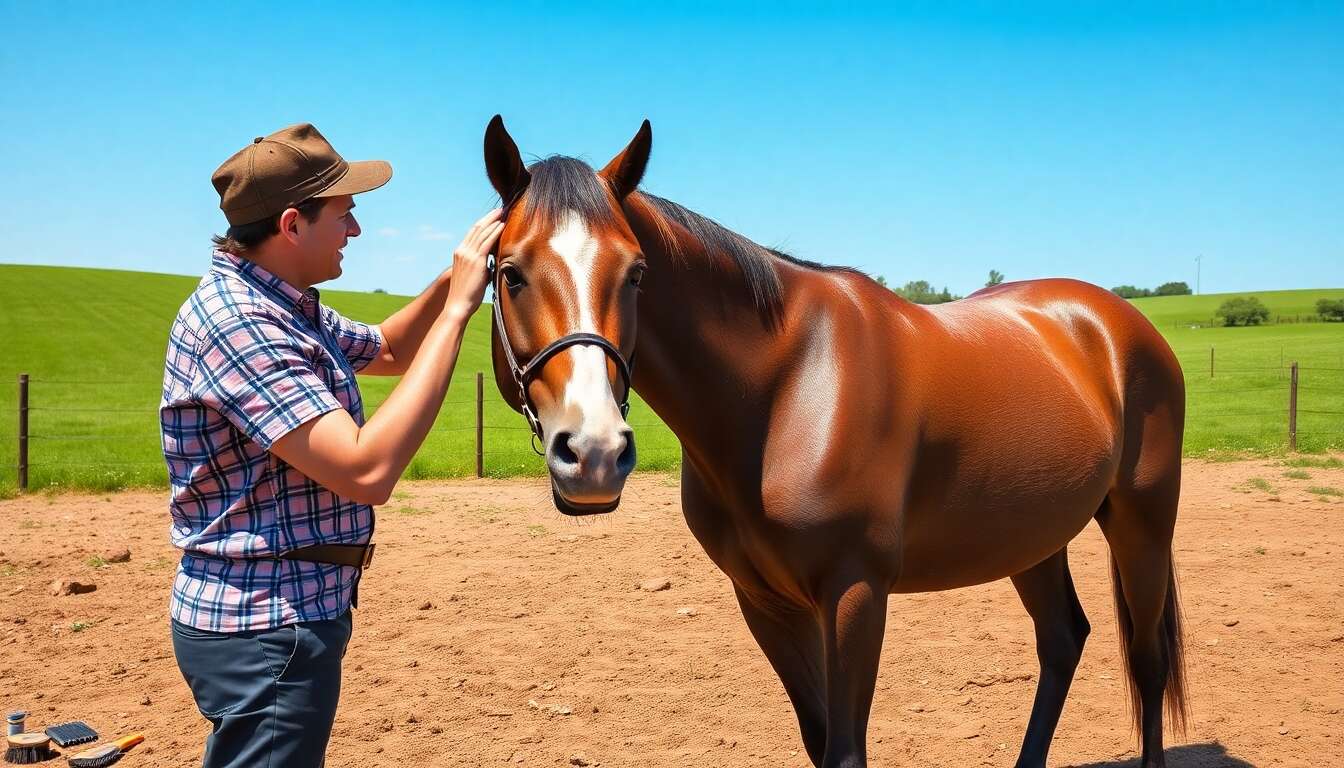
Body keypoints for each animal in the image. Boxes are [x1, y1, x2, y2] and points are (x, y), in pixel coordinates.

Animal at [481, 115, 1189, 768]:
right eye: (510, 274)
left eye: (636, 274)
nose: (595, 454)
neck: (789, 387)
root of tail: (1118, 324)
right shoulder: (764, 601)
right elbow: (819, 740)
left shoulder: (855, 593)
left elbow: (848, 750)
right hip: (1031, 538)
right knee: (1063, 639)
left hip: (1143, 523)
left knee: (1148, 662)